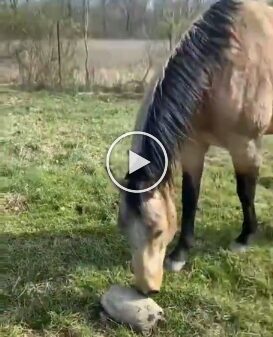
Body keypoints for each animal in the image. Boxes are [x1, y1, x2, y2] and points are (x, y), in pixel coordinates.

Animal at [116, 0, 272, 294]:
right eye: (124, 228)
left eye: (157, 230)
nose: (146, 289)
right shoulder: (193, 147)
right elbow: (190, 197)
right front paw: (179, 254)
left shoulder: (244, 145)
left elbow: (245, 191)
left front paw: (244, 238)